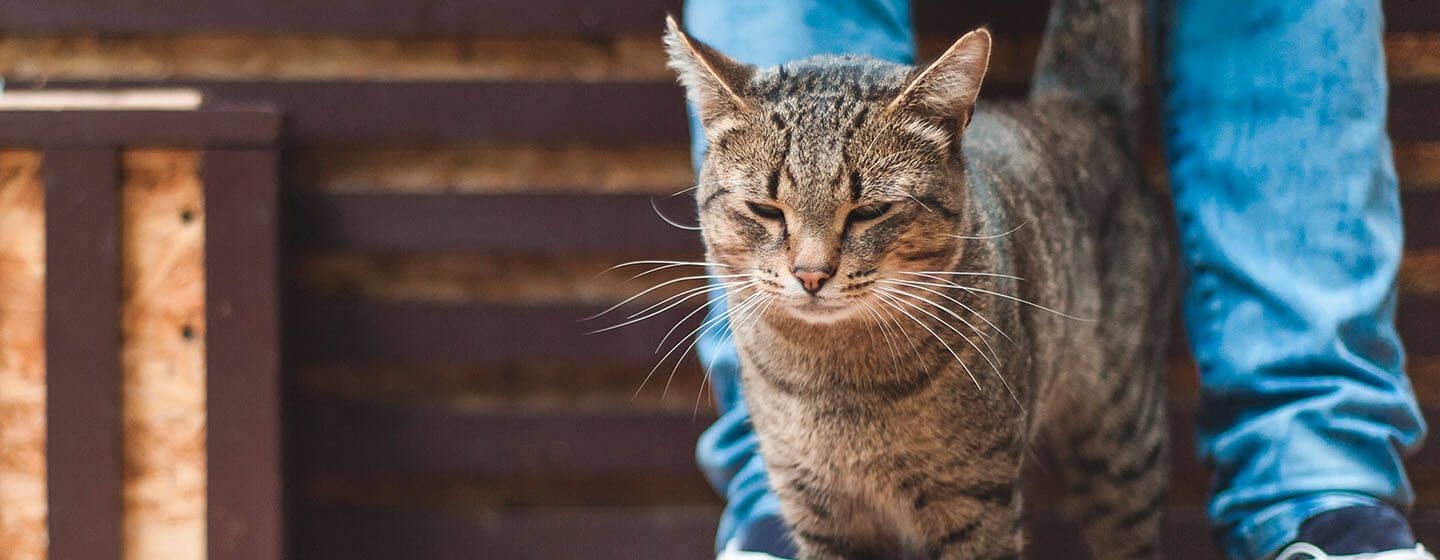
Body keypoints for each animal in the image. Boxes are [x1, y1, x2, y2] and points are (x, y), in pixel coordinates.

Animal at [668, 0, 1175, 555]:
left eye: (869, 211)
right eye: (765, 209)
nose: (811, 274)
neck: (837, 384)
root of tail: (1076, 106)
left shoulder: (975, 502)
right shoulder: (815, 509)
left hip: (1123, 443)